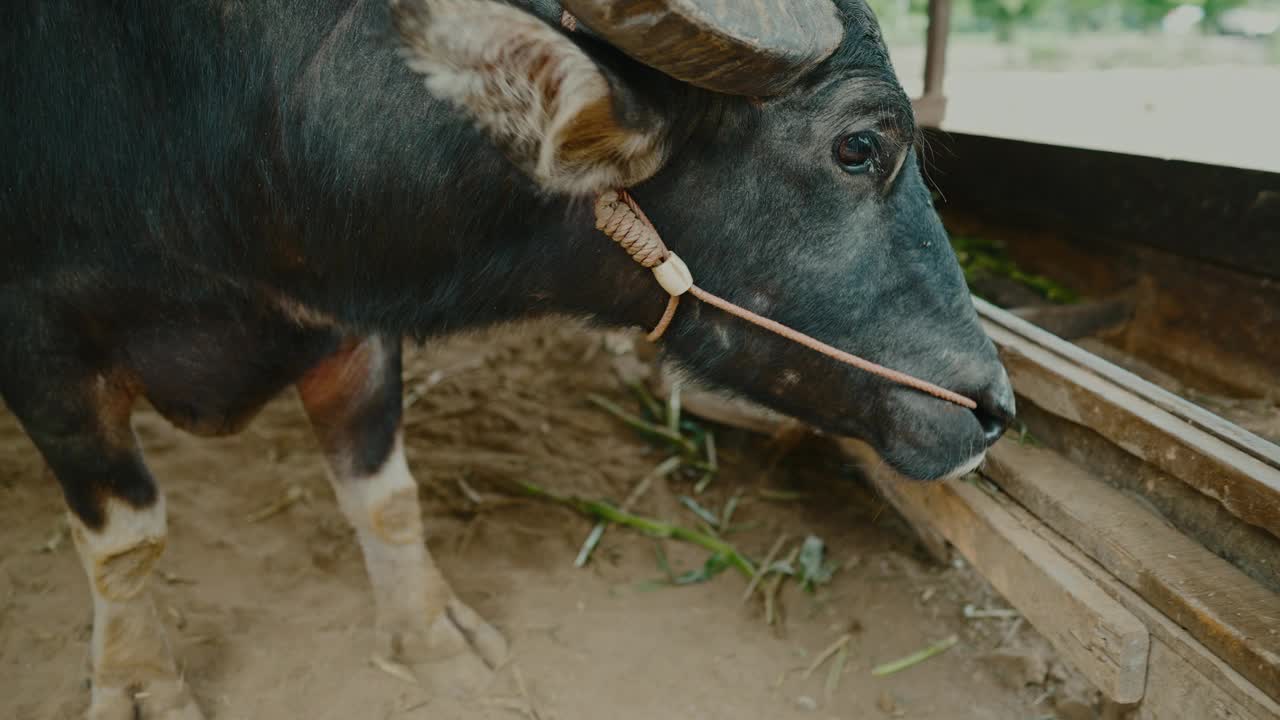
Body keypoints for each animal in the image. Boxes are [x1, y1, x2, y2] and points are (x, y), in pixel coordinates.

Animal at [2, 0, 1008, 712]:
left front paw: (433, 640)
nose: (993, 407)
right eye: (860, 144)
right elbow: (127, 536)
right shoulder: (42, 356)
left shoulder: (357, 325)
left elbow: (387, 496)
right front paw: (137, 682)